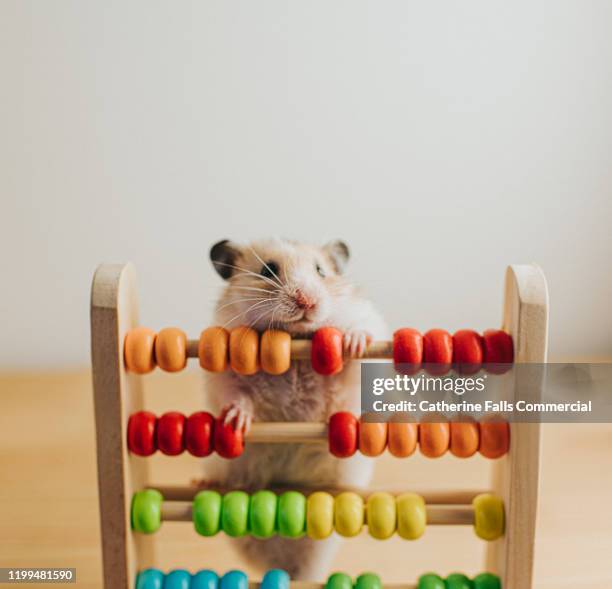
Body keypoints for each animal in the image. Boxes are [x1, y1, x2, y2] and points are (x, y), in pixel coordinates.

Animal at [204, 238, 388, 580]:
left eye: (321, 271)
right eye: (268, 270)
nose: (307, 301)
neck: (295, 339)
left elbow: (359, 343)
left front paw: (353, 342)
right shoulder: (222, 366)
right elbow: (236, 395)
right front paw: (237, 420)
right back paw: (205, 483)